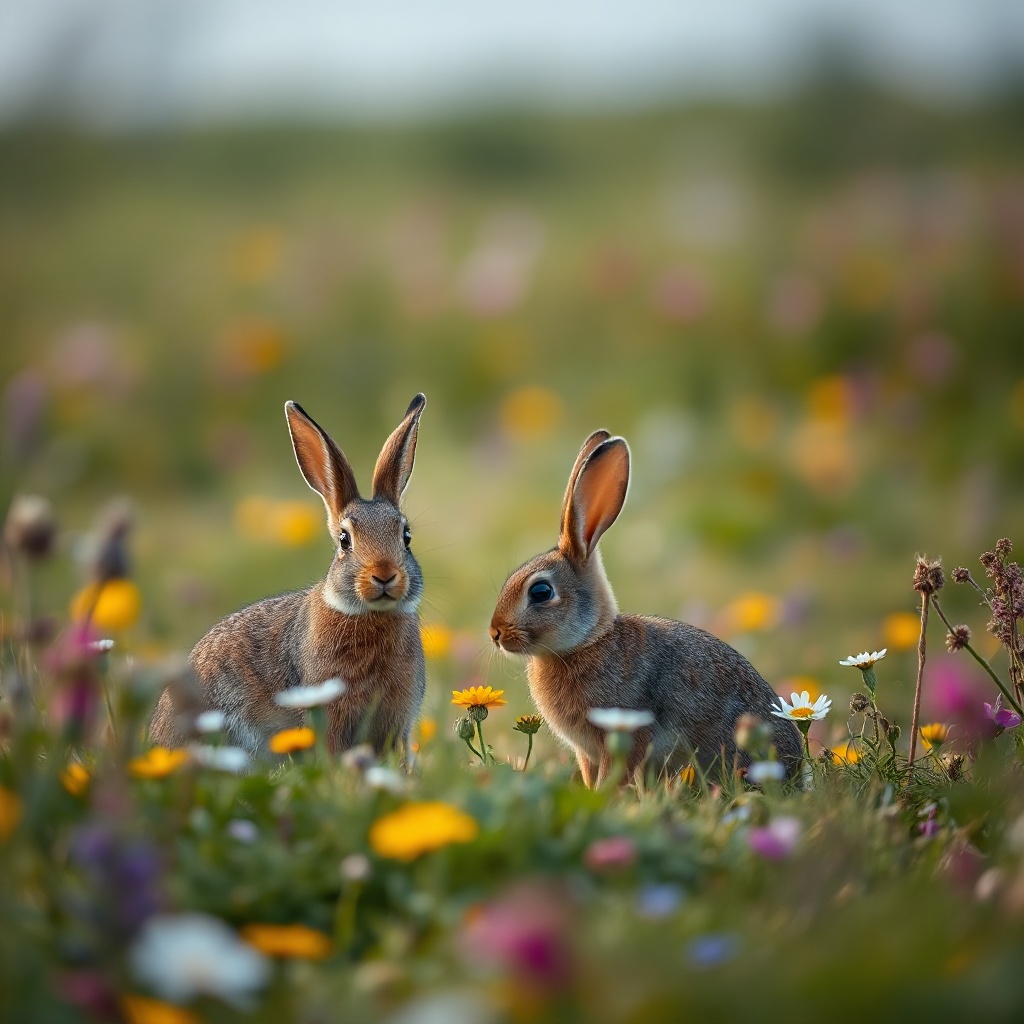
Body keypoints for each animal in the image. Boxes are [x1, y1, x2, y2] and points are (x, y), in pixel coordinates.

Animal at [488, 429, 802, 787]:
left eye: (540, 592)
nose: (495, 632)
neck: (588, 643)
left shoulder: (626, 731)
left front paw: (605, 797)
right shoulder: (587, 752)